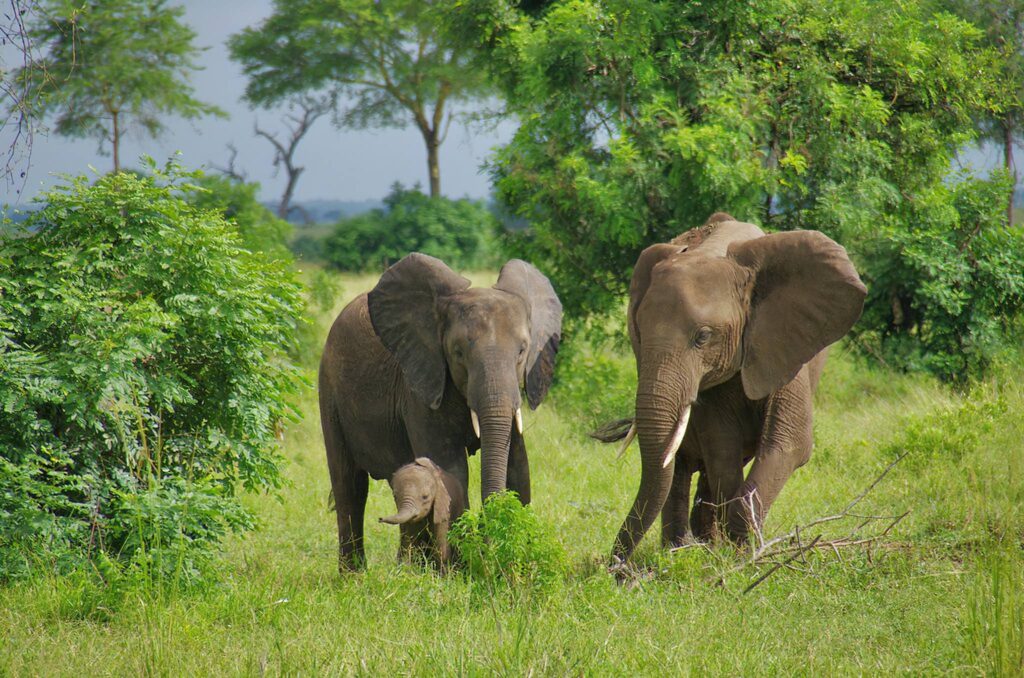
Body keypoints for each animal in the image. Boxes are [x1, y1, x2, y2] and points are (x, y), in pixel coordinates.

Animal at [319, 253, 562, 572]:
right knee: (349, 486)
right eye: (458, 353)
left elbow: (519, 467)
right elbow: (451, 467)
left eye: (522, 351)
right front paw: (463, 569)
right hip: (329, 389)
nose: (486, 540)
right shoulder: (422, 385)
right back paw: (354, 576)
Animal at [601, 212, 866, 565]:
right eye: (639, 334)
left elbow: (791, 443)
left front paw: (739, 554)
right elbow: (721, 448)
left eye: (702, 337)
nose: (614, 568)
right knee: (677, 463)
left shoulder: (783, 343)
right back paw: (679, 549)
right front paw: (730, 552)